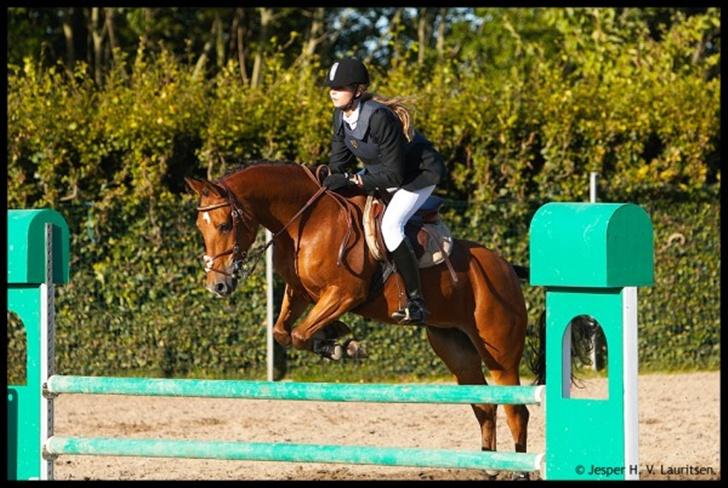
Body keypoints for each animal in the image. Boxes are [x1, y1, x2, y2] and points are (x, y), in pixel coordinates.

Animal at [185, 161, 543, 468]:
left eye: (225, 224)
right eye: (200, 227)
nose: (217, 285)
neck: (306, 221)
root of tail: (506, 267)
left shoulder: (345, 293)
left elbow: (299, 333)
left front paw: (343, 345)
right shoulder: (301, 292)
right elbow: (283, 332)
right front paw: (334, 339)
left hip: (499, 354)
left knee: (516, 411)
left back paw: (519, 469)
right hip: (456, 349)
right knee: (484, 404)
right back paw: (490, 466)